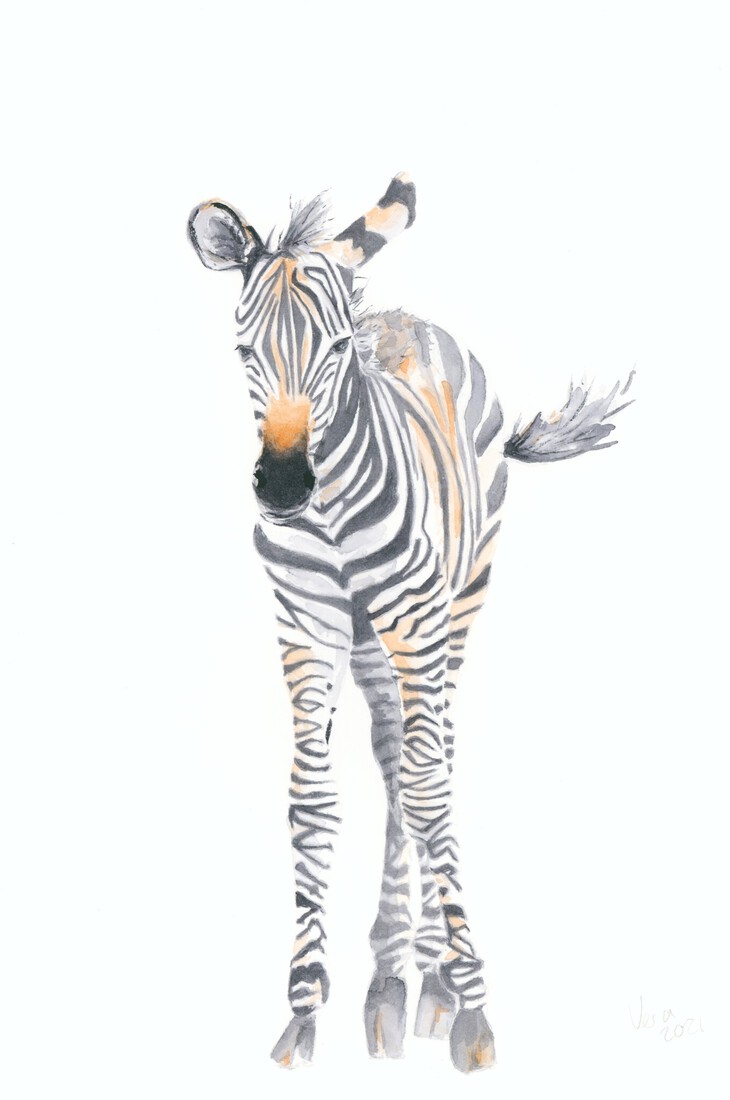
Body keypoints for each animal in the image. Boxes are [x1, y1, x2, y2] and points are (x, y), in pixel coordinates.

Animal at [187, 174, 632, 1074]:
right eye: (244, 354)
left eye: (334, 350)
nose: (282, 486)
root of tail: (406, 316)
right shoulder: (305, 631)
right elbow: (314, 800)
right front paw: (303, 1011)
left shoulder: (417, 626)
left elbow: (431, 791)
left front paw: (471, 1006)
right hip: (372, 643)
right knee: (397, 761)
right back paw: (388, 979)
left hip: (452, 609)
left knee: (434, 761)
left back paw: (428, 981)